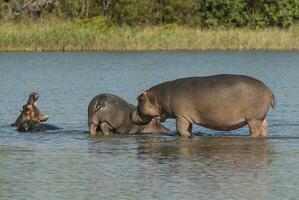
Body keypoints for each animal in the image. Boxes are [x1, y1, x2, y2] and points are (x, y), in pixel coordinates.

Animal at [130, 74, 276, 138]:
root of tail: (268, 89)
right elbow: (187, 129)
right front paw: (190, 135)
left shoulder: (180, 116)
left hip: (254, 119)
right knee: (265, 128)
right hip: (261, 117)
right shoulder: (186, 117)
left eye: (138, 99)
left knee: (255, 132)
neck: (158, 98)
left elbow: (180, 130)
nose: (130, 114)